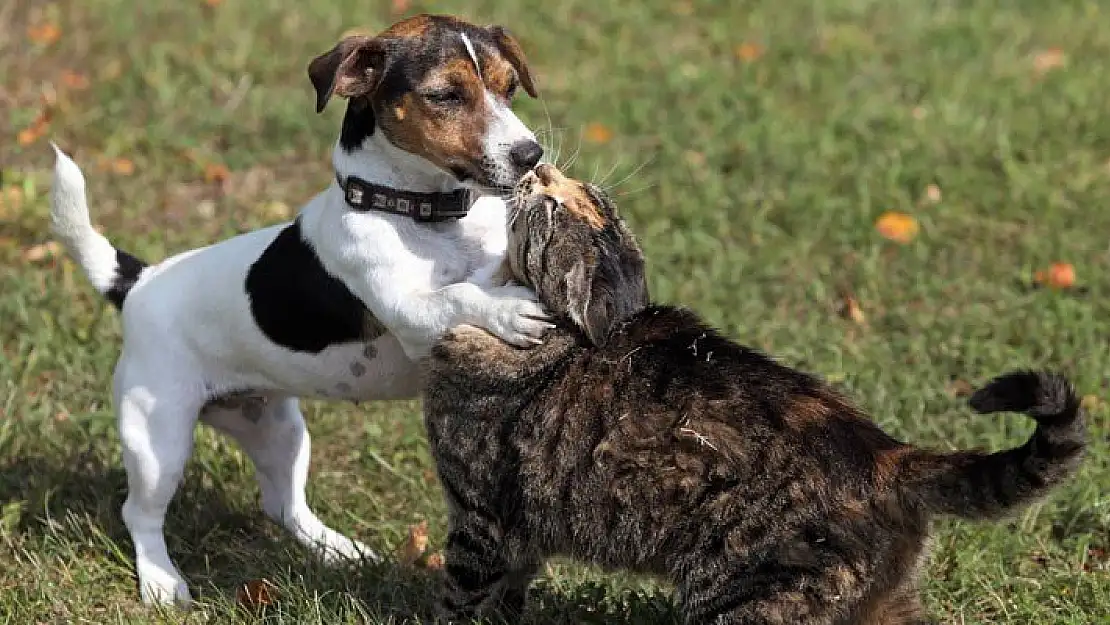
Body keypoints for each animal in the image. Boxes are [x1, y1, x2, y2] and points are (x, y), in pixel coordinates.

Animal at [49, 13, 552, 608]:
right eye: (446, 95)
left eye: (510, 87)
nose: (531, 155)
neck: (425, 213)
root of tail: (139, 283)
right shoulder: (410, 315)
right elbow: (459, 295)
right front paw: (510, 311)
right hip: (158, 437)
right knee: (140, 513)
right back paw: (161, 580)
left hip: (277, 429)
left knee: (283, 504)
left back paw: (338, 550)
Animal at [417, 164, 1083, 621]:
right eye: (566, 193)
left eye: (555, 209)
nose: (538, 169)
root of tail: (886, 454)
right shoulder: (520, 540)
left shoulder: (483, 520)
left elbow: (460, 600)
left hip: (747, 598)